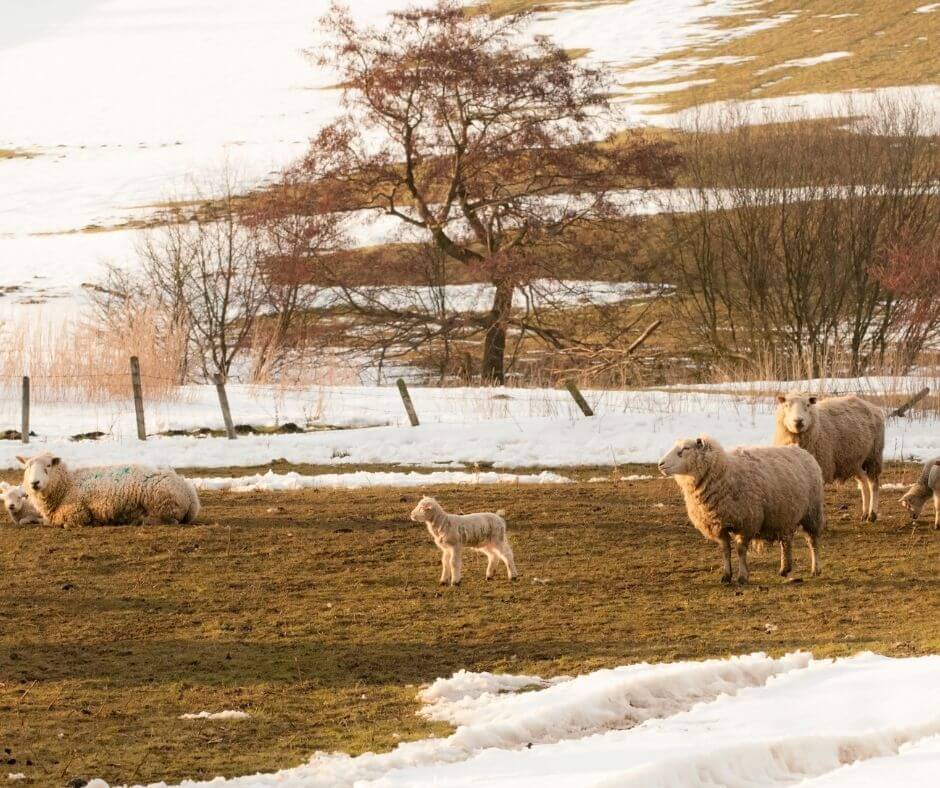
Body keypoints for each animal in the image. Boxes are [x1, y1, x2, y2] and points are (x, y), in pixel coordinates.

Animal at [17, 452, 200, 528]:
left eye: (48, 466)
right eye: (27, 467)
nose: (34, 483)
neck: (67, 484)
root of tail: (190, 494)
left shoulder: (77, 514)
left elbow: (60, 524)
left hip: (161, 505)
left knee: (169, 521)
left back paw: (138, 521)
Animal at [656, 438, 828, 584]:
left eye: (685, 448)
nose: (660, 464)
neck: (723, 474)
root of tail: (802, 450)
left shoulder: (746, 523)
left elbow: (740, 550)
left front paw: (742, 577)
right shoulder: (719, 525)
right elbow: (725, 550)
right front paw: (726, 576)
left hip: (812, 512)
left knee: (812, 541)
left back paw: (816, 569)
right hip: (784, 514)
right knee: (786, 541)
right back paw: (785, 569)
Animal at [776, 394, 884, 524]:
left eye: (808, 405)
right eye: (786, 405)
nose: (798, 422)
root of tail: (872, 406)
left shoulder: (821, 469)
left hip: (873, 456)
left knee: (873, 484)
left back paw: (872, 515)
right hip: (855, 461)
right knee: (863, 482)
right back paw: (864, 514)